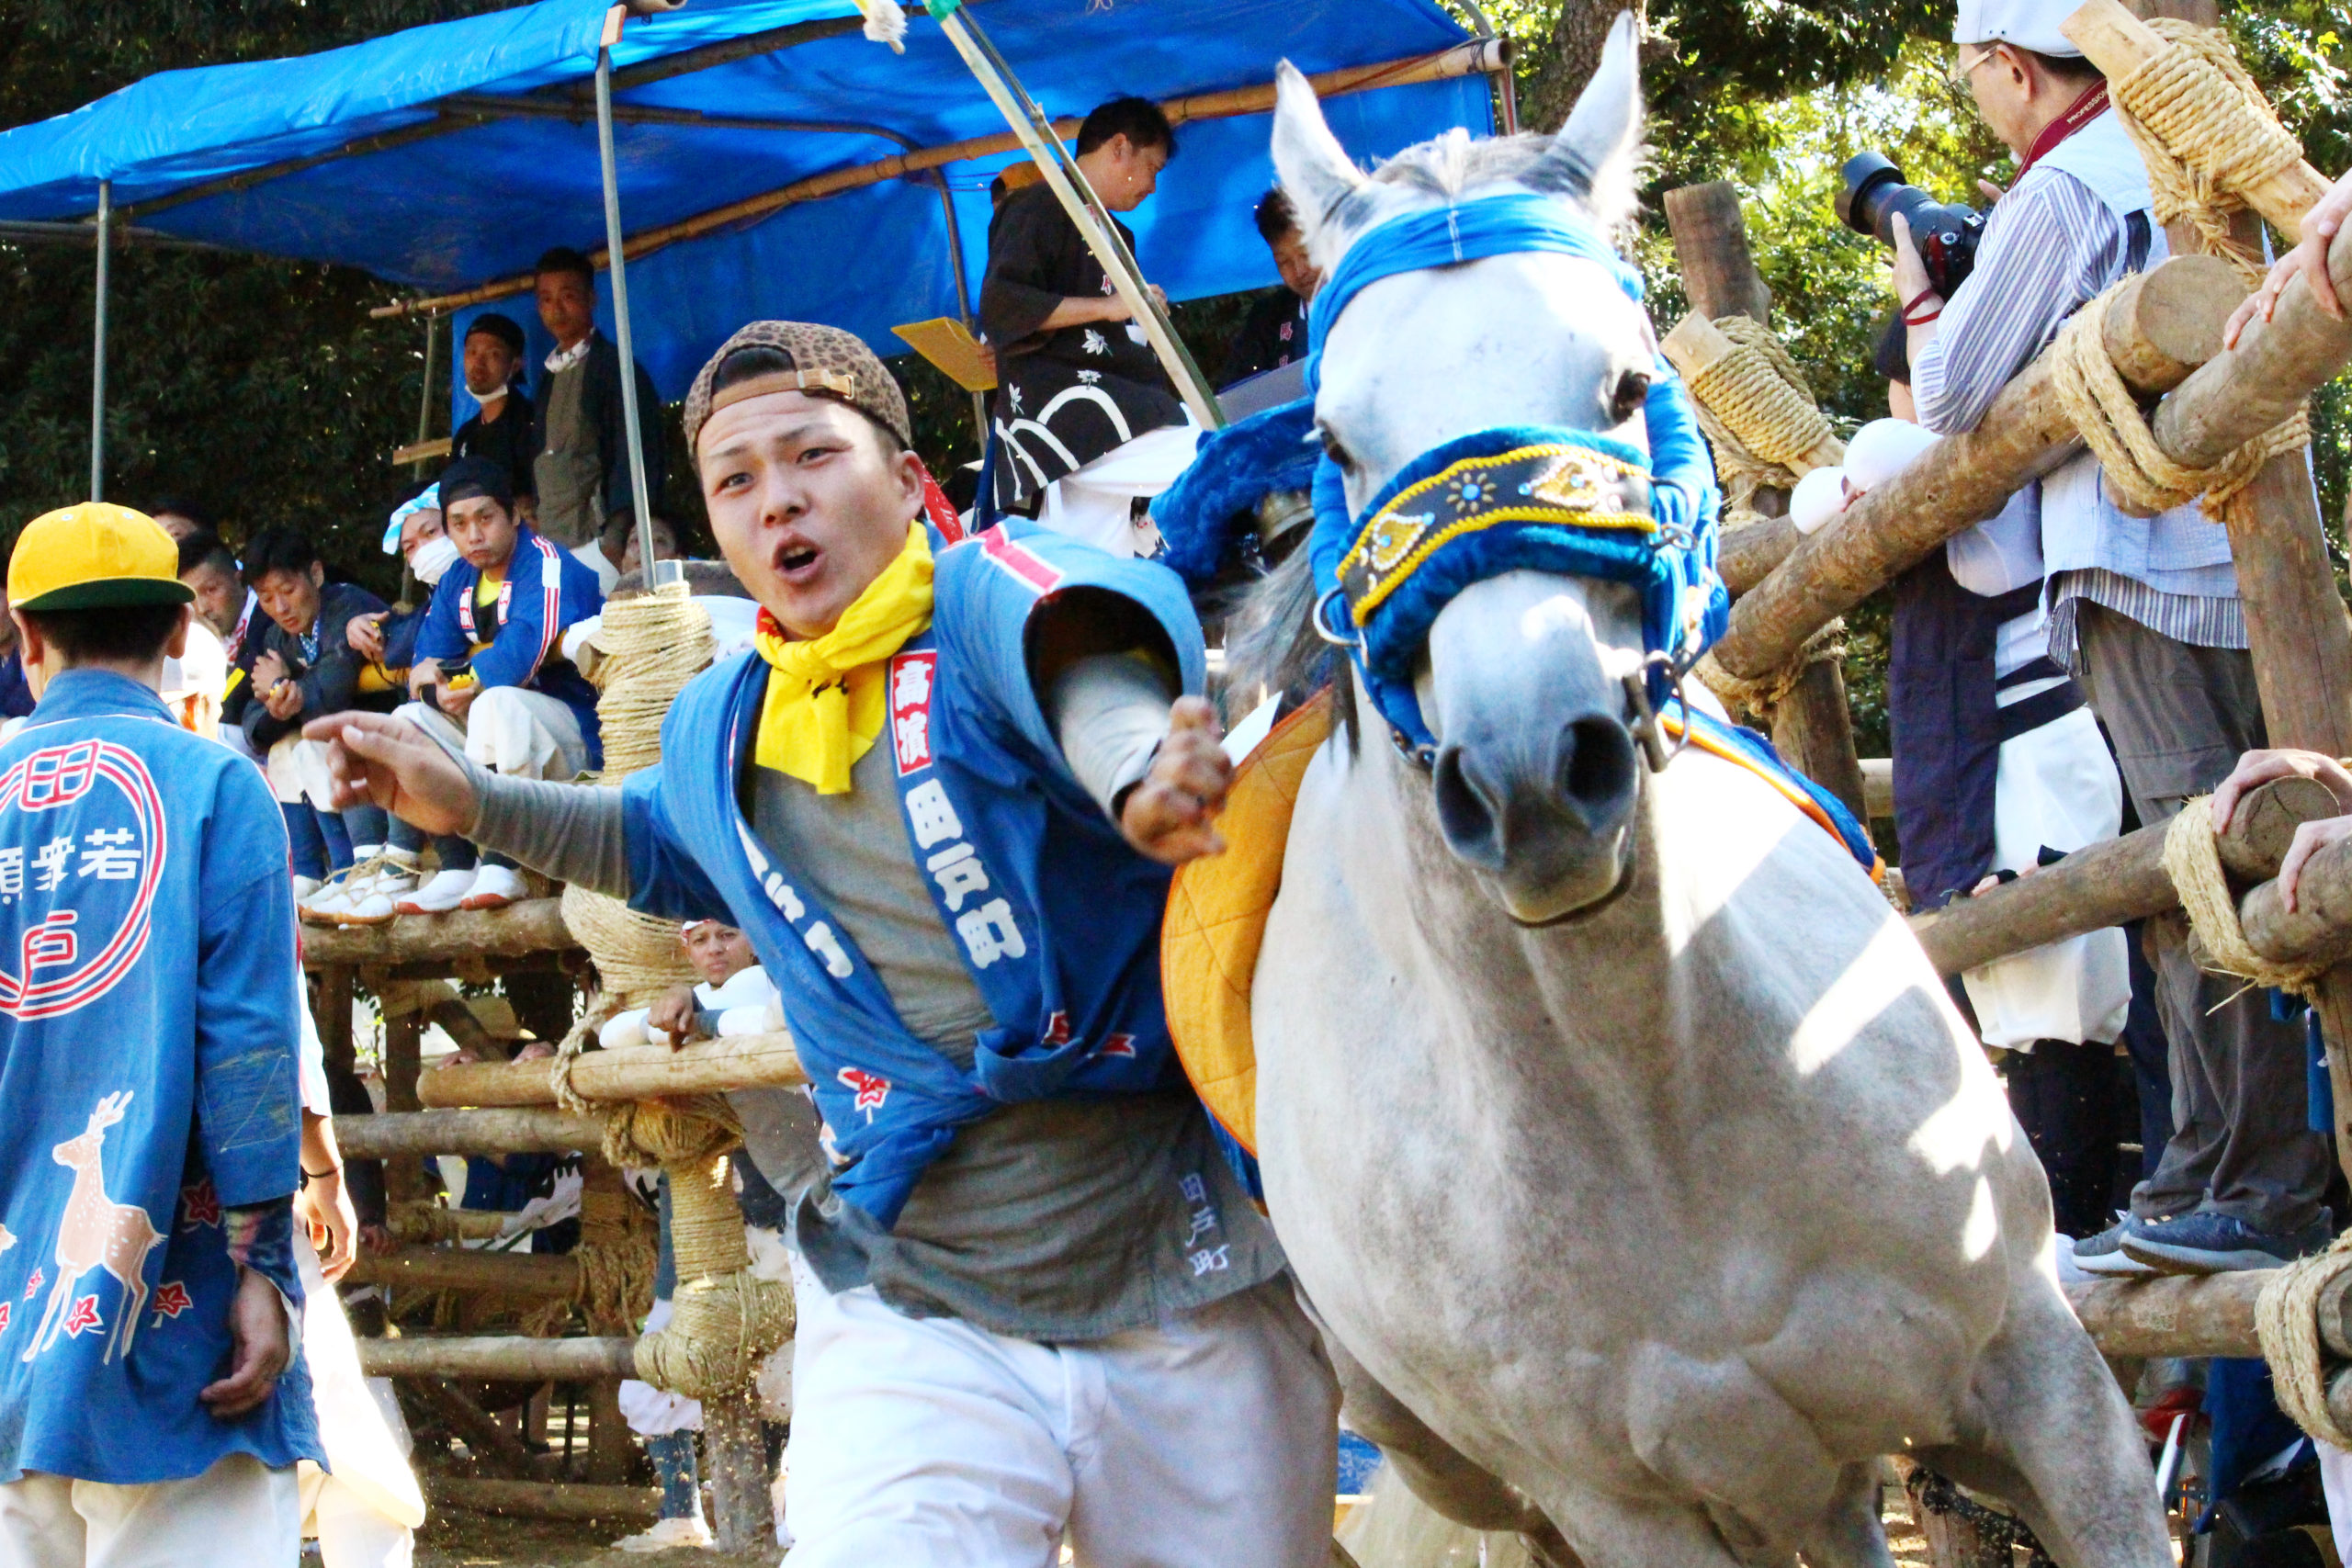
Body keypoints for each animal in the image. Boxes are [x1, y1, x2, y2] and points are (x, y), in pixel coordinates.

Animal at [1232, 19, 2171, 1566]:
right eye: (1336, 442)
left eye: (1623, 385)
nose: (1534, 770)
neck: (1654, 1101)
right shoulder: (1629, 1509)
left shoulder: (2046, 1376)